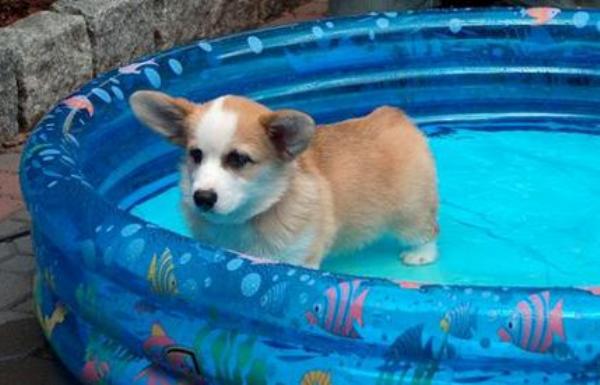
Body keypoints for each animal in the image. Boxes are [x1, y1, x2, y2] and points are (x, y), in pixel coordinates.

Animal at [131, 92, 438, 268]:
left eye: (238, 159)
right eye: (195, 155)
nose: (202, 198)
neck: (246, 219)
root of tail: (392, 116)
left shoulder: (296, 258)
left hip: (410, 213)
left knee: (427, 231)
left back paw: (420, 255)